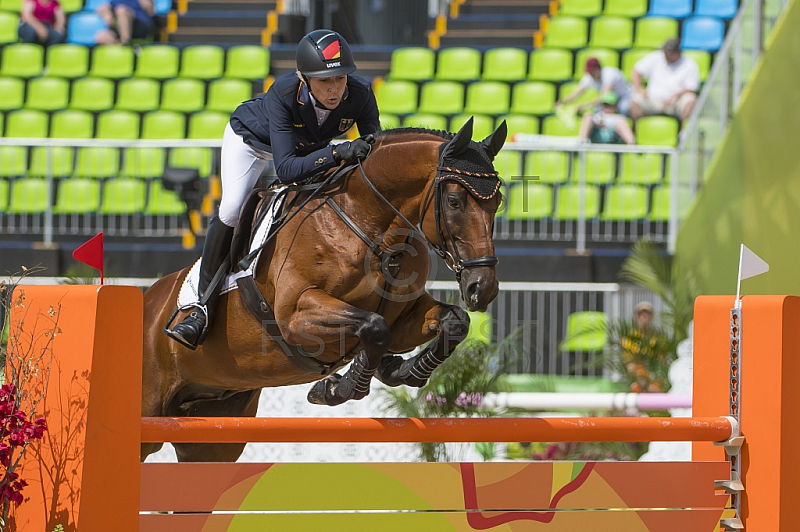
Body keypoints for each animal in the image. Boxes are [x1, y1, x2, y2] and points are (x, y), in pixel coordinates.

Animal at [142, 117, 506, 462]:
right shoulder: (296, 316)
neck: (372, 225)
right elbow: (374, 327)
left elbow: (453, 322)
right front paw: (339, 387)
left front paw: (401, 371)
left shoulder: (405, 316)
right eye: (455, 201)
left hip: (212, 436)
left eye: (499, 201)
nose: (482, 288)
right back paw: (192, 323)